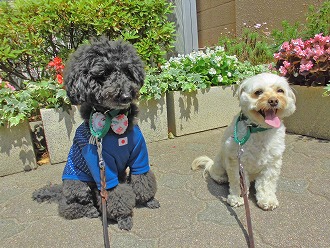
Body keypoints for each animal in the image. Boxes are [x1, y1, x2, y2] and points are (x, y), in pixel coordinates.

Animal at [32, 37, 159, 231]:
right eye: (104, 74)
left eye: (128, 72)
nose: (126, 95)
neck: (115, 120)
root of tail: (60, 190)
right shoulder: (103, 166)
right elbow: (115, 194)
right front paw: (123, 217)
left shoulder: (139, 154)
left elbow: (142, 179)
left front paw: (149, 200)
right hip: (77, 184)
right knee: (68, 206)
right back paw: (91, 210)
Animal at [191, 72, 296, 210]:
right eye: (258, 92)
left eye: (280, 90)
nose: (273, 100)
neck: (258, 130)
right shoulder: (236, 161)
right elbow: (238, 182)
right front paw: (238, 197)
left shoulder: (272, 164)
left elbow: (266, 184)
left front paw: (267, 199)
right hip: (220, 161)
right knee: (213, 171)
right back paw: (220, 178)